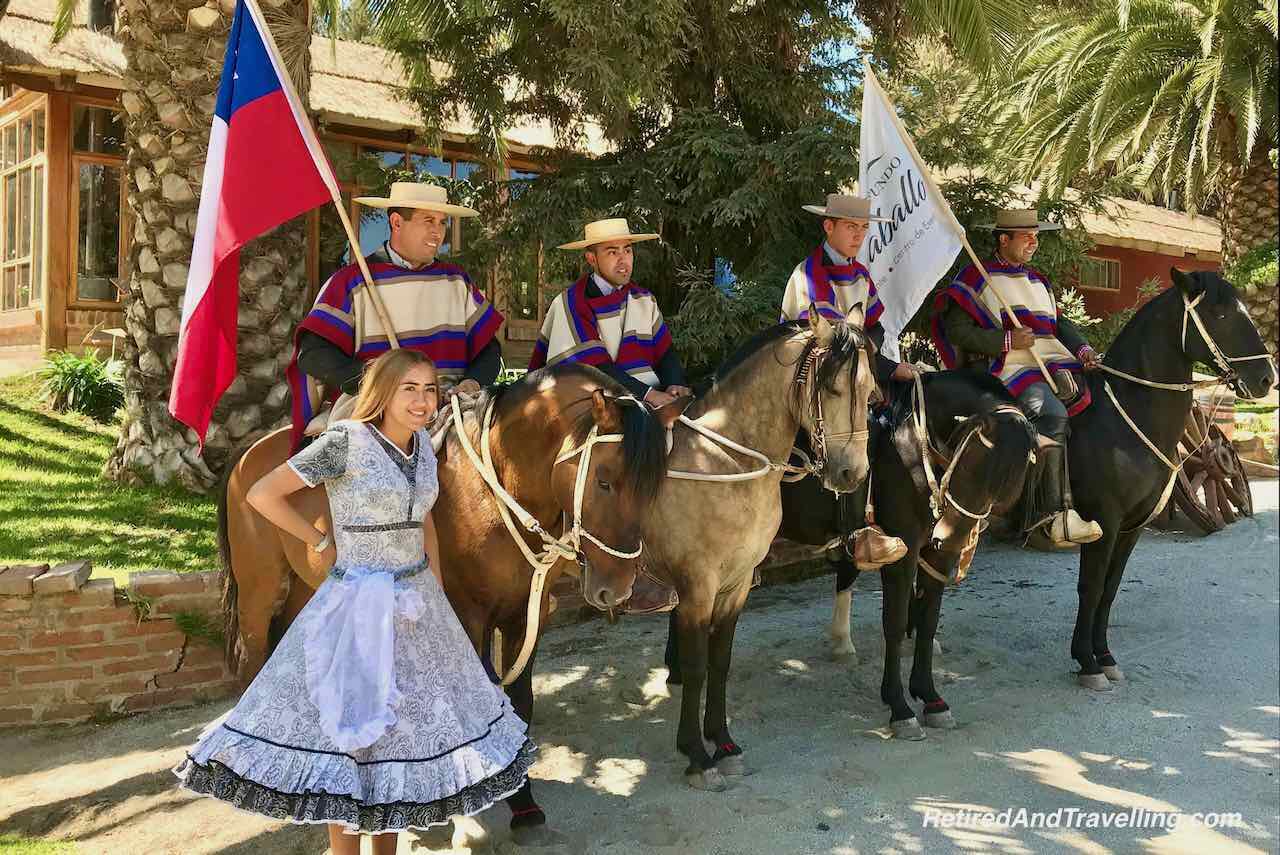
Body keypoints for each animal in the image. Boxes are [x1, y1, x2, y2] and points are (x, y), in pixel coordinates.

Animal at [660, 371, 1039, 737]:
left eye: (1009, 482)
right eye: (972, 462)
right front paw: (900, 708)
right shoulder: (903, 551)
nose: (949, 537)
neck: (912, 451)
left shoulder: (934, 556)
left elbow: (929, 621)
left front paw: (930, 697)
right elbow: (894, 622)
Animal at [1064, 267, 1274, 686]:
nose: (1266, 379)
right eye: (1221, 314)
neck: (1123, 420)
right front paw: (1087, 662)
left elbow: (1109, 588)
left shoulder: (1131, 525)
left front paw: (1104, 656)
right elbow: (1090, 587)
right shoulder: (1103, 521)